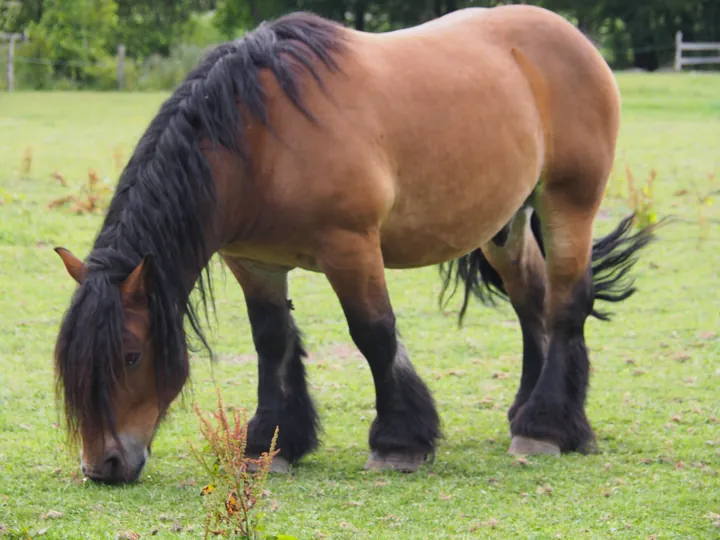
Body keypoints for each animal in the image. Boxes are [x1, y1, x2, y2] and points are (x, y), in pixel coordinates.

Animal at [53, 4, 656, 486]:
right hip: (506, 223)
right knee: (532, 301)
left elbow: (374, 334)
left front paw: (399, 443)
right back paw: (527, 411)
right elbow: (272, 342)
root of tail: (572, 37)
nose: (103, 465)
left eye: (131, 355)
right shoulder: (254, 262)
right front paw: (270, 444)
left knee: (566, 304)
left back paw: (546, 426)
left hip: (568, 203)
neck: (260, 140)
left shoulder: (351, 248)